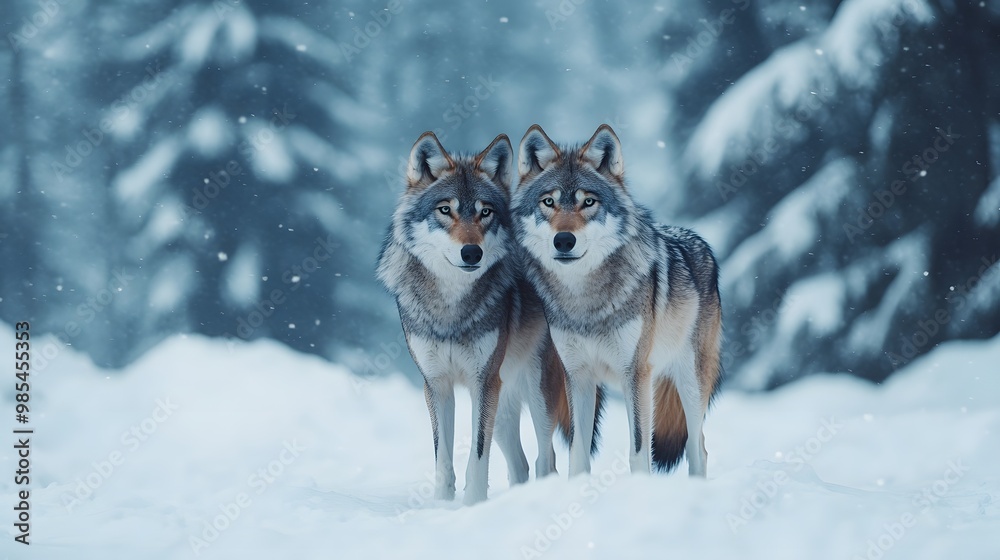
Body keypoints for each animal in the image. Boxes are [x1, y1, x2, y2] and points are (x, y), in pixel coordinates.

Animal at [376, 131, 595, 504]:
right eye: (445, 209)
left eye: (486, 212)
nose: (471, 252)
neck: (450, 308)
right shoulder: (436, 384)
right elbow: (443, 458)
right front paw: (443, 506)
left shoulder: (482, 382)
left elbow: (477, 455)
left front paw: (472, 505)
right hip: (504, 401)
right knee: (520, 464)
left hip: (536, 392)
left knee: (546, 458)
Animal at [511, 124, 723, 478]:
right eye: (548, 201)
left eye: (588, 202)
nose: (563, 240)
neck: (584, 301)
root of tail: (700, 242)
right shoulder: (578, 377)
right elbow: (578, 456)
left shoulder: (634, 374)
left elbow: (638, 451)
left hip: (691, 384)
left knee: (700, 448)